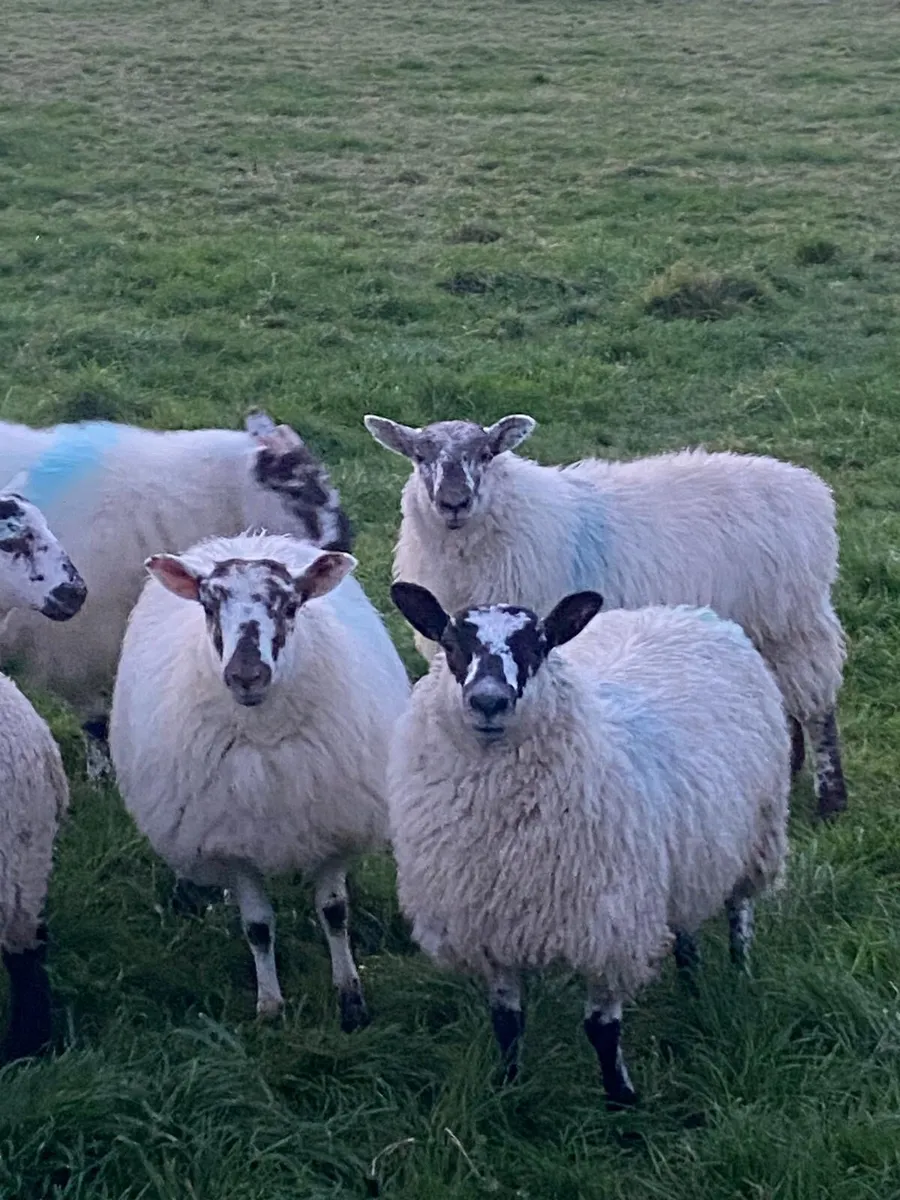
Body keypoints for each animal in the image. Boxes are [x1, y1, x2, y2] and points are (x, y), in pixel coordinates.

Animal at [109, 532, 410, 1027]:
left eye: (290, 606)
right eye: (208, 605)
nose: (246, 675)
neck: (265, 737)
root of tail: (245, 537)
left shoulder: (333, 828)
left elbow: (334, 913)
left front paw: (351, 1000)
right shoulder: (232, 842)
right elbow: (258, 927)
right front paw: (270, 1008)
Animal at [364, 413, 847, 819]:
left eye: (485, 454)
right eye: (419, 456)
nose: (454, 502)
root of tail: (806, 487)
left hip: (793, 623)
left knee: (816, 706)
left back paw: (830, 798)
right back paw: (789, 765)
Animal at [387, 583, 789, 1106]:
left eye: (538, 645)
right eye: (452, 644)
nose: (489, 701)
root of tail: (681, 612)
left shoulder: (608, 925)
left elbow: (601, 1029)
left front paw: (623, 1100)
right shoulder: (487, 924)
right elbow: (507, 1022)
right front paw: (507, 1088)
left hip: (758, 829)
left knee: (740, 908)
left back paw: (739, 972)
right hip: (688, 850)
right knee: (686, 918)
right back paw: (691, 981)